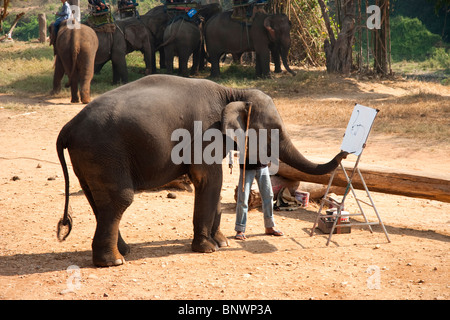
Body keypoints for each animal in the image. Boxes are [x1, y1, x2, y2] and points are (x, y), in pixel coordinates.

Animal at [55, 74, 344, 266]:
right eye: (273, 128)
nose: (345, 152)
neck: (232, 93)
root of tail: (68, 127)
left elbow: (213, 184)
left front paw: (222, 242)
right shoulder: (204, 133)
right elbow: (210, 179)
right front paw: (208, 248)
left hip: (89, 159)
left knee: (99, 202)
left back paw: (123, 252)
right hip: (104, 153)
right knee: (120, 199)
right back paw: (114, 262)